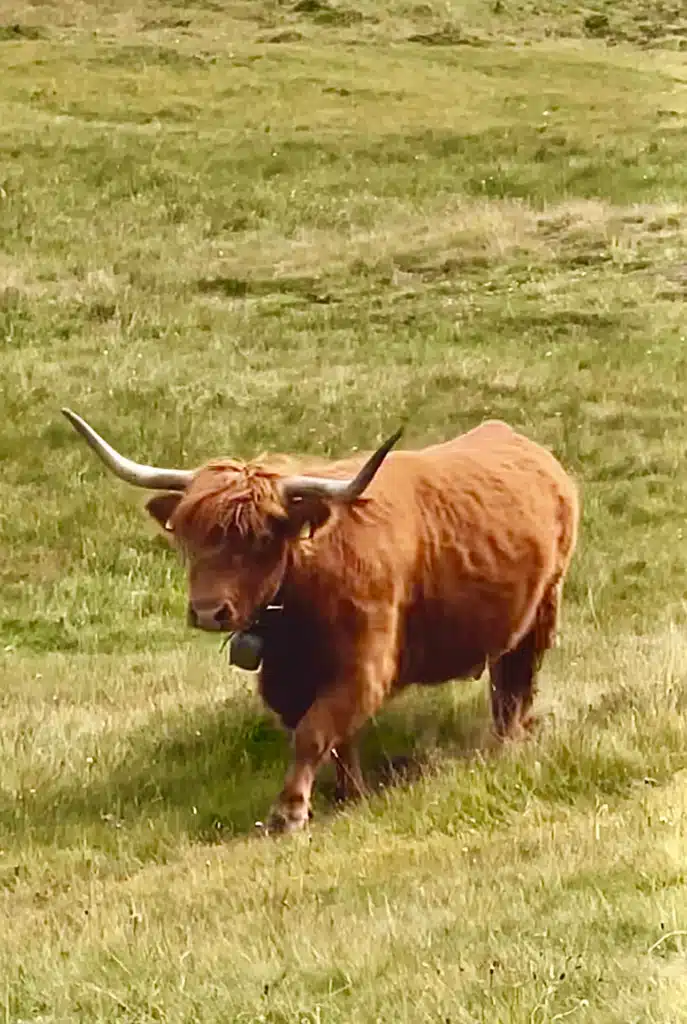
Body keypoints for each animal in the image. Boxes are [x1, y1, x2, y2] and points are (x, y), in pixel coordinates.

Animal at [62, 409, 579, 834]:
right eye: (189, 535)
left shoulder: (365, 665)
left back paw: (506, 746)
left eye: (261, 539)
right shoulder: (283, 677)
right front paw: (351, 793)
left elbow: (313, 733)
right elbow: (327, 734)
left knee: (514, 685)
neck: (297, 611)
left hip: (541, 610)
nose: (209, 611)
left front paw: (289, 812)